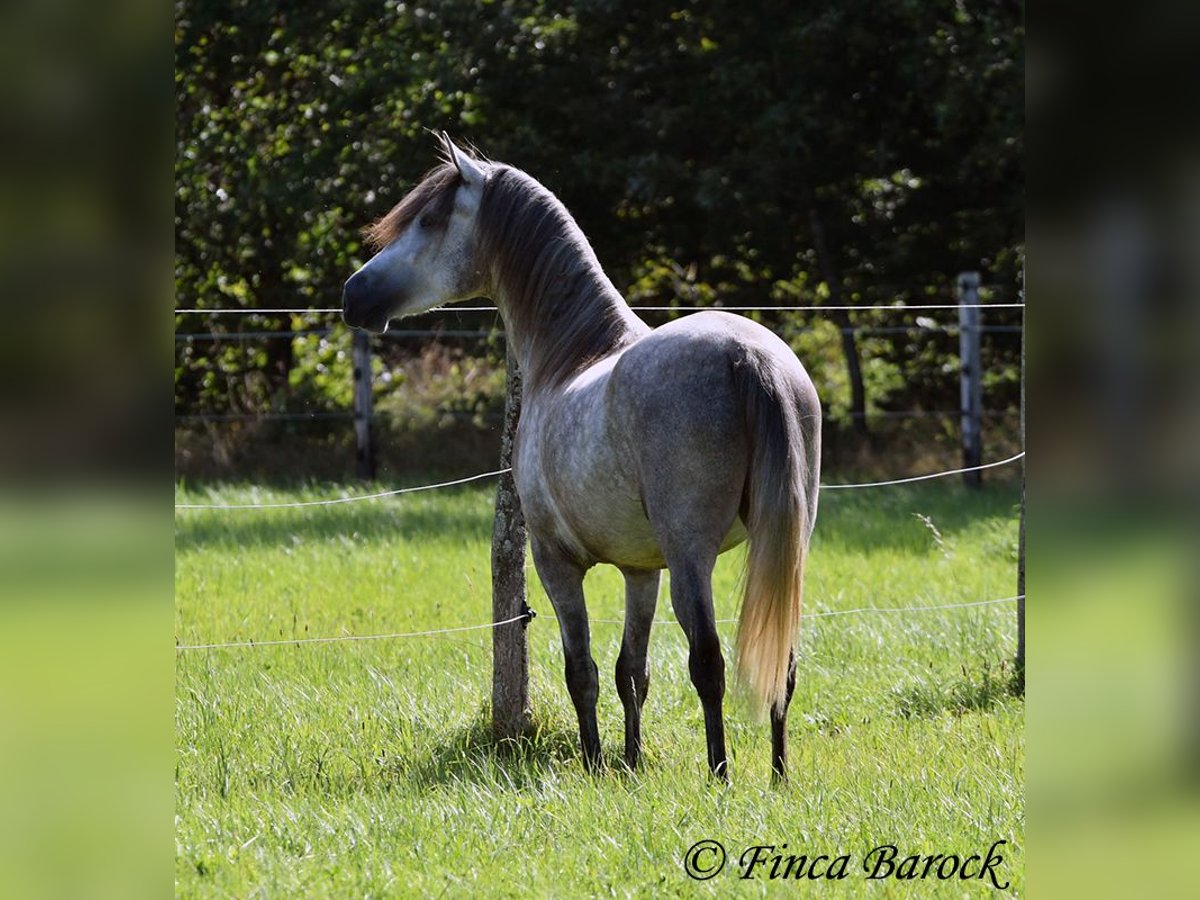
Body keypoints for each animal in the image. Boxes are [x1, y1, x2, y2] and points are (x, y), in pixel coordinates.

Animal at [343, 133, 820, 782]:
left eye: (429, 220)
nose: (353, 295)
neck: (572, 355)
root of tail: (750, 356)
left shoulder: (555, 562)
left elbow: (583, 671)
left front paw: (595, 764)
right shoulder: (641, 571)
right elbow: (632, 673)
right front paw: (631, 763)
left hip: (691, 556)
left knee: (708, 663)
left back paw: (721, 775)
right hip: (783, 542)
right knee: (782, 669)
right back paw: (777, 776)